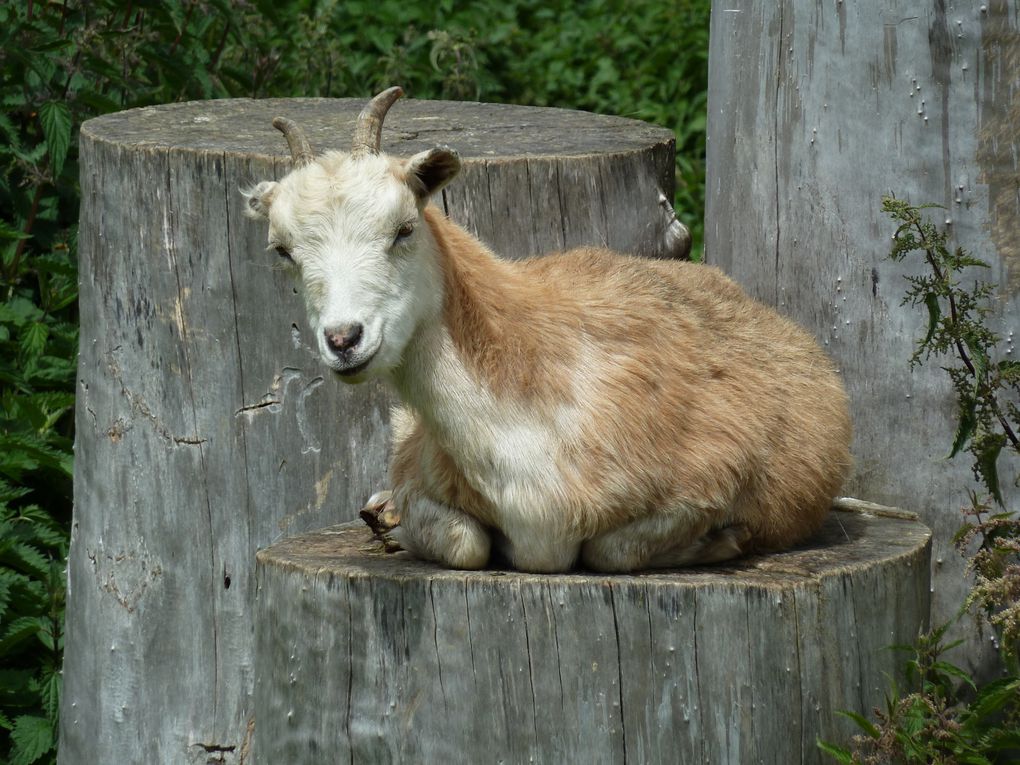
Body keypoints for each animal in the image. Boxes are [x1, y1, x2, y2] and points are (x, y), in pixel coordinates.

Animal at [240, 86, 852, 571]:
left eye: (404, 227)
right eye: (283, 250)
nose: (345, 340)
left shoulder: (708, 482)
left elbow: (612, 550)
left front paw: (726, 541)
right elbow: (464, 542)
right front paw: (392, 522)